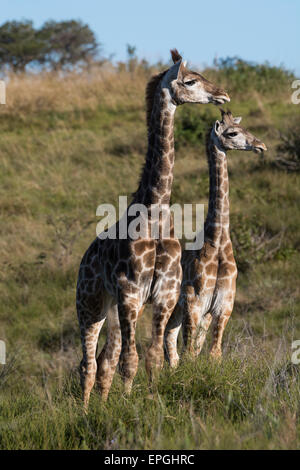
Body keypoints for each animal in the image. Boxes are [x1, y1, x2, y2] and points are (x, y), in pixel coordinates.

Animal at [76, 49, 231, 406]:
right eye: (191, 81)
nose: (222, 95)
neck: (156, 213)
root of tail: (83, 259)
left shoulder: (165, 293)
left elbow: (153, 356)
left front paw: (149, 401)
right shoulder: (131, 292)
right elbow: (130, 360)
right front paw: (126, 406)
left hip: (111, 309)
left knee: (105, 357)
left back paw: (98, 406)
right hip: (89, 303)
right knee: (88, 362)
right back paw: (86, 411)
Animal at [164, 108, 268, 366]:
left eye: (245, 128)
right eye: (232, 133)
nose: (261, 146)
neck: (218, 240)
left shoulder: (223, 306)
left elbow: (213, 354)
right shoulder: (194, 302)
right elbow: (191, 353)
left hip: (183, 312)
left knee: (170, 339)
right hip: (169, 303)